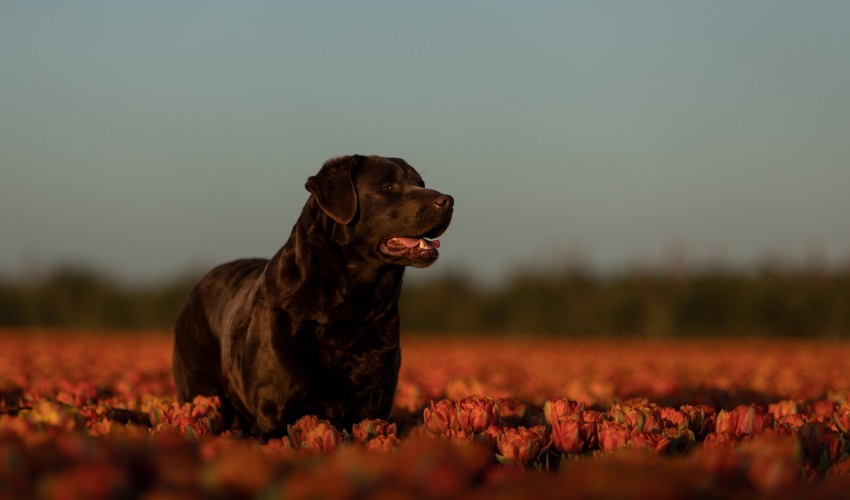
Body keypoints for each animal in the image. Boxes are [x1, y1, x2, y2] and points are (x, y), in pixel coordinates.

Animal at [171, 154, 450, 436]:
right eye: (388, 186)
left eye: (421, 183)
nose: (448, 200)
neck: (353, 305)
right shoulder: (276, 415)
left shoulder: (372, 406)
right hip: (201, 392)